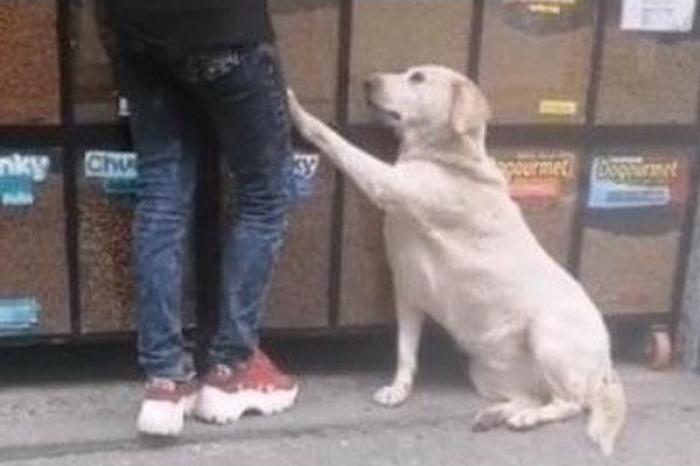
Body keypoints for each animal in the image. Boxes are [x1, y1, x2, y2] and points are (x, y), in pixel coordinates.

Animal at [288, 65, 628, 456]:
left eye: (417, 77)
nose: (367, 81)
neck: (447, 156)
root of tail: (607, 363)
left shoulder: (387, 182)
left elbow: (334, 139)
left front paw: (295, 109)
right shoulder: (407, 294)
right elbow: (405, 352)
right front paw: (400, 389)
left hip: (548, 335)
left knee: (570, 403)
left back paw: (527, 419)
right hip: (484, 371)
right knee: (530, 396)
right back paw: (494, 416)